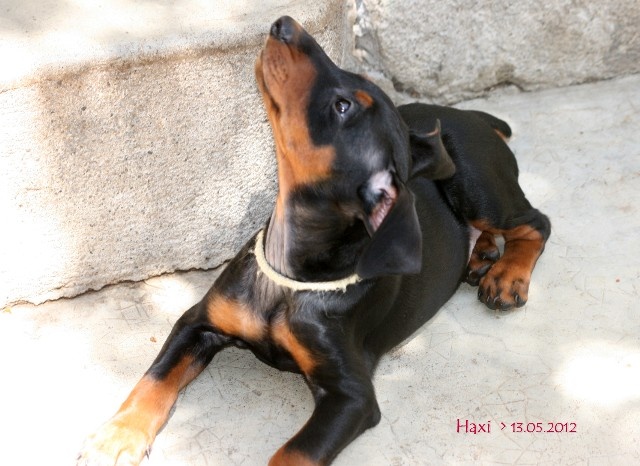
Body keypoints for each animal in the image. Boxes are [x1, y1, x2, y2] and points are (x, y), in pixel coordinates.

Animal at [77, 16, 550, 466]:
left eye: (342, 107)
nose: (285, 23)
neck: (292, 276)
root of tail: (471, 116)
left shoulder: (351, 395)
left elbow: (294, 453)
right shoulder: (198, 321)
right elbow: (154, 378)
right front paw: (116, 438)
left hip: (473, 180)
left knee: (535, 222)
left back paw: (506, 276)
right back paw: (483, 254)